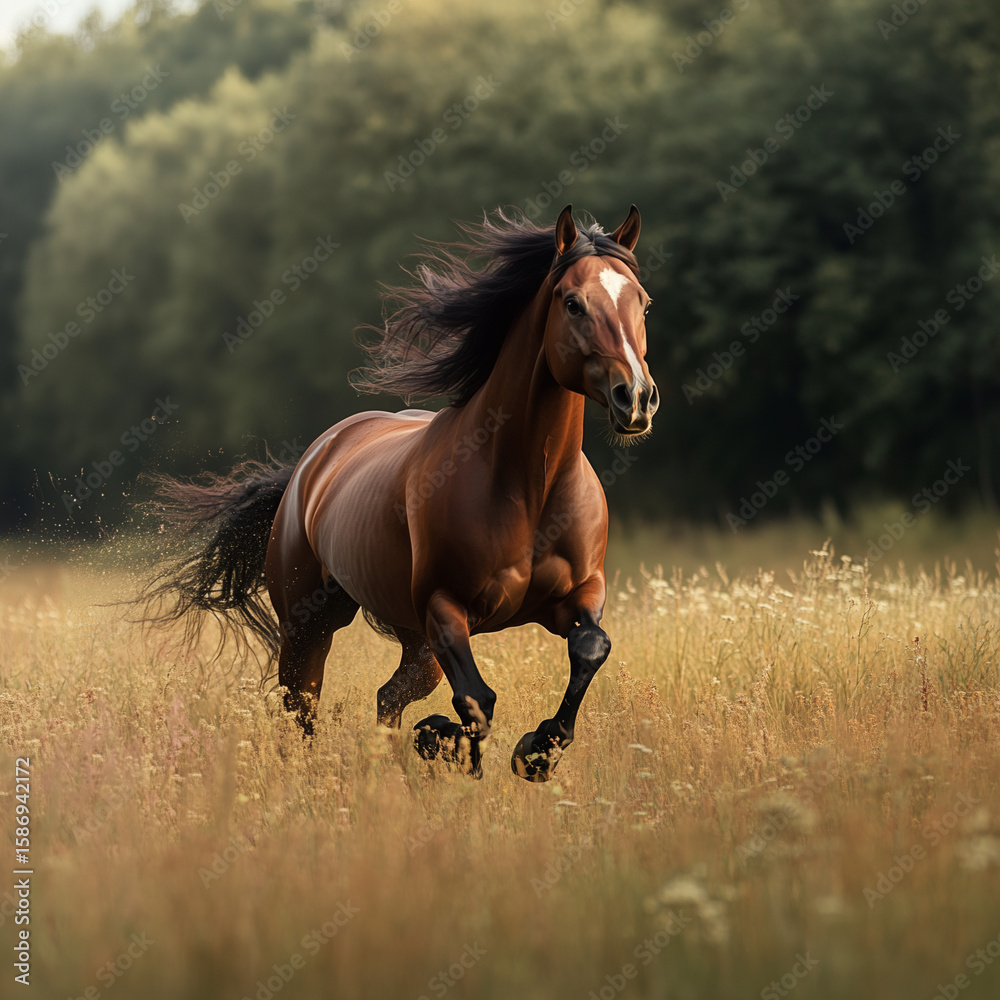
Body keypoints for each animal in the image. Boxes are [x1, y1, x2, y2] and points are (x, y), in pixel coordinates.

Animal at [143, 204, 658, 781]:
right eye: (572, 302)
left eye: (643, 301)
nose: (636, 399)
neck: (530, 486)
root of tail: (311, 463)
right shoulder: (445, 608)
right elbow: (477, 702)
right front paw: (448, 742)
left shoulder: (581, 593)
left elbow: (590, 647)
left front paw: (537, 751)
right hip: (312, 624)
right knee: (302, 702)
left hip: (415, 640)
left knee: (387, 697)